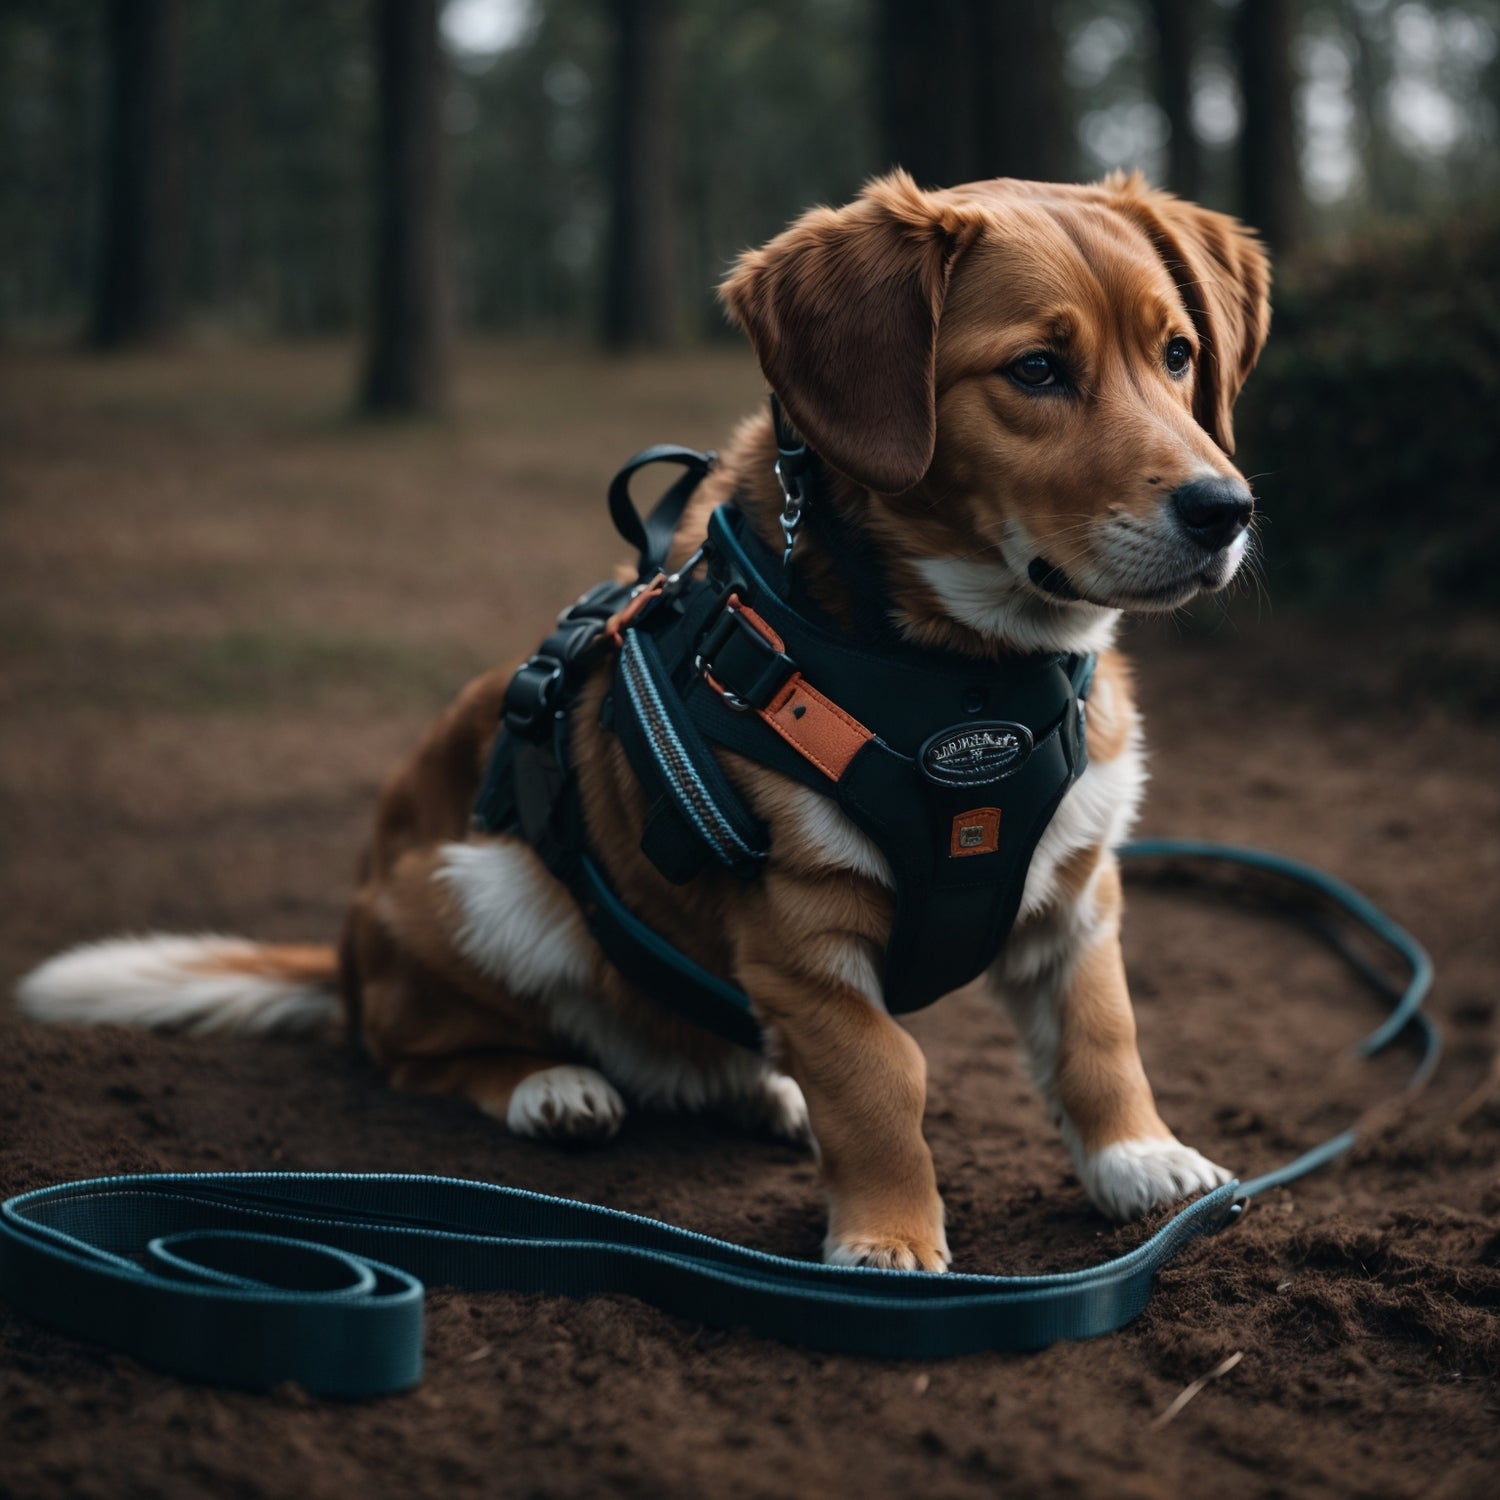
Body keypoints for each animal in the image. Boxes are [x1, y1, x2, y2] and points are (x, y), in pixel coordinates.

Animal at [23, 175, 1266, 1278]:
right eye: (1036, 370)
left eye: (1177, 355)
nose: (1227, 510)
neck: (966, 683)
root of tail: (345, 952)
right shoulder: (802, 934)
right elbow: (880, 1078)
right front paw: (890, 1240)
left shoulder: (1077, 893)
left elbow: (1100, 1041)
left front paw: (1137, 1160)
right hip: (480, 888)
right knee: (419, 1053)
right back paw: (552, 1086)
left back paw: (760, 1087)